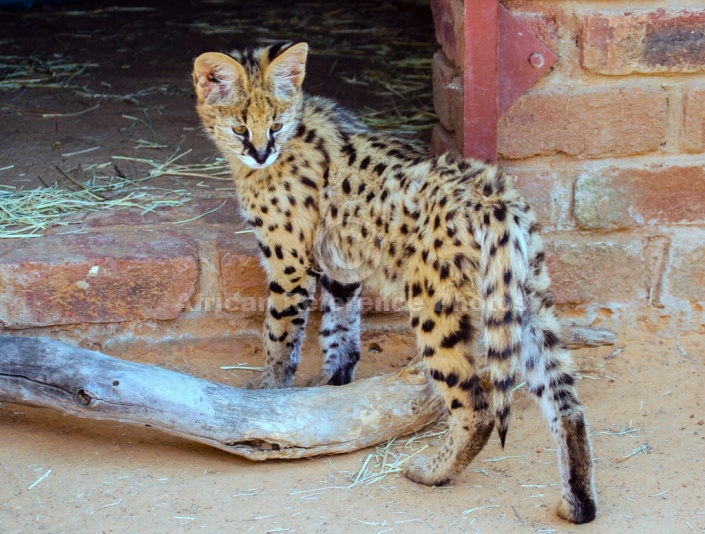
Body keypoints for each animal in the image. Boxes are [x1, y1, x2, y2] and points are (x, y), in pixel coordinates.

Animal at [191, 40, 592, 524]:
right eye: (239, 127)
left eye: (275, 125)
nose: (260, 152)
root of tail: (492, 195)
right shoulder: (340, 269)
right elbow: (340, 333)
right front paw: (334, 388)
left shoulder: (290, 266)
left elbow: (279, 336)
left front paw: (269, 396)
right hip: (524, 302)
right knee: (566, 404)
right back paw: (578, 504)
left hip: (435, 308)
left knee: (476, 409)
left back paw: (432, 472)